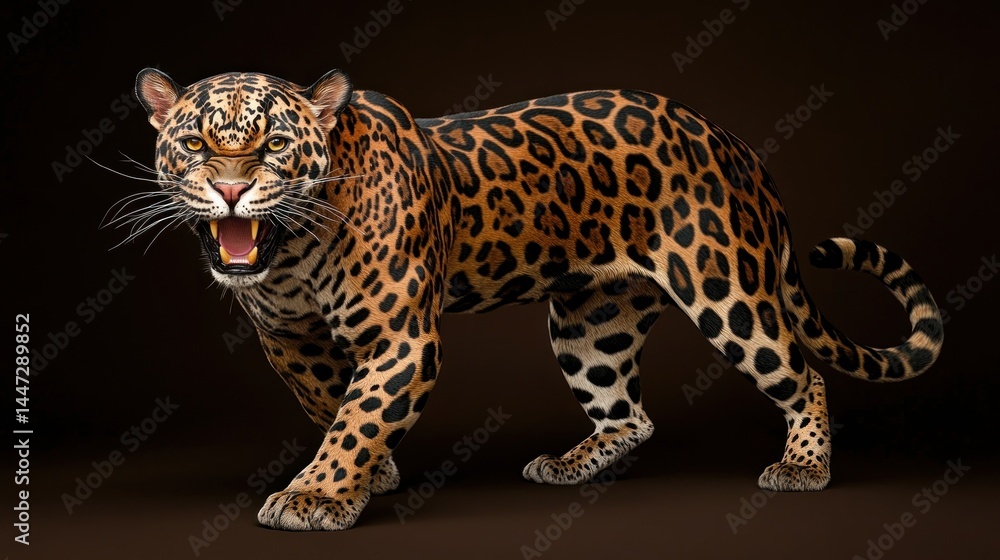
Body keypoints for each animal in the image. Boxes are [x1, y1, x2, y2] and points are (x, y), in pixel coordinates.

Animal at [131, 67, 944, 531]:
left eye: (273, 146)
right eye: (196, 144)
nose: (229, 190)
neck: (292, 255)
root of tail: (733, 142)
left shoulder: (402, 339)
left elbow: (360, 414)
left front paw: (318, 497)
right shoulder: (288, 339)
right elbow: (332, 403)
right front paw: (369, 478)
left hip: (726, 289)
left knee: (802, 374)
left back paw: (804, 468)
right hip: (593, 321)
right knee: (628, 413)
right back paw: (568, 465)